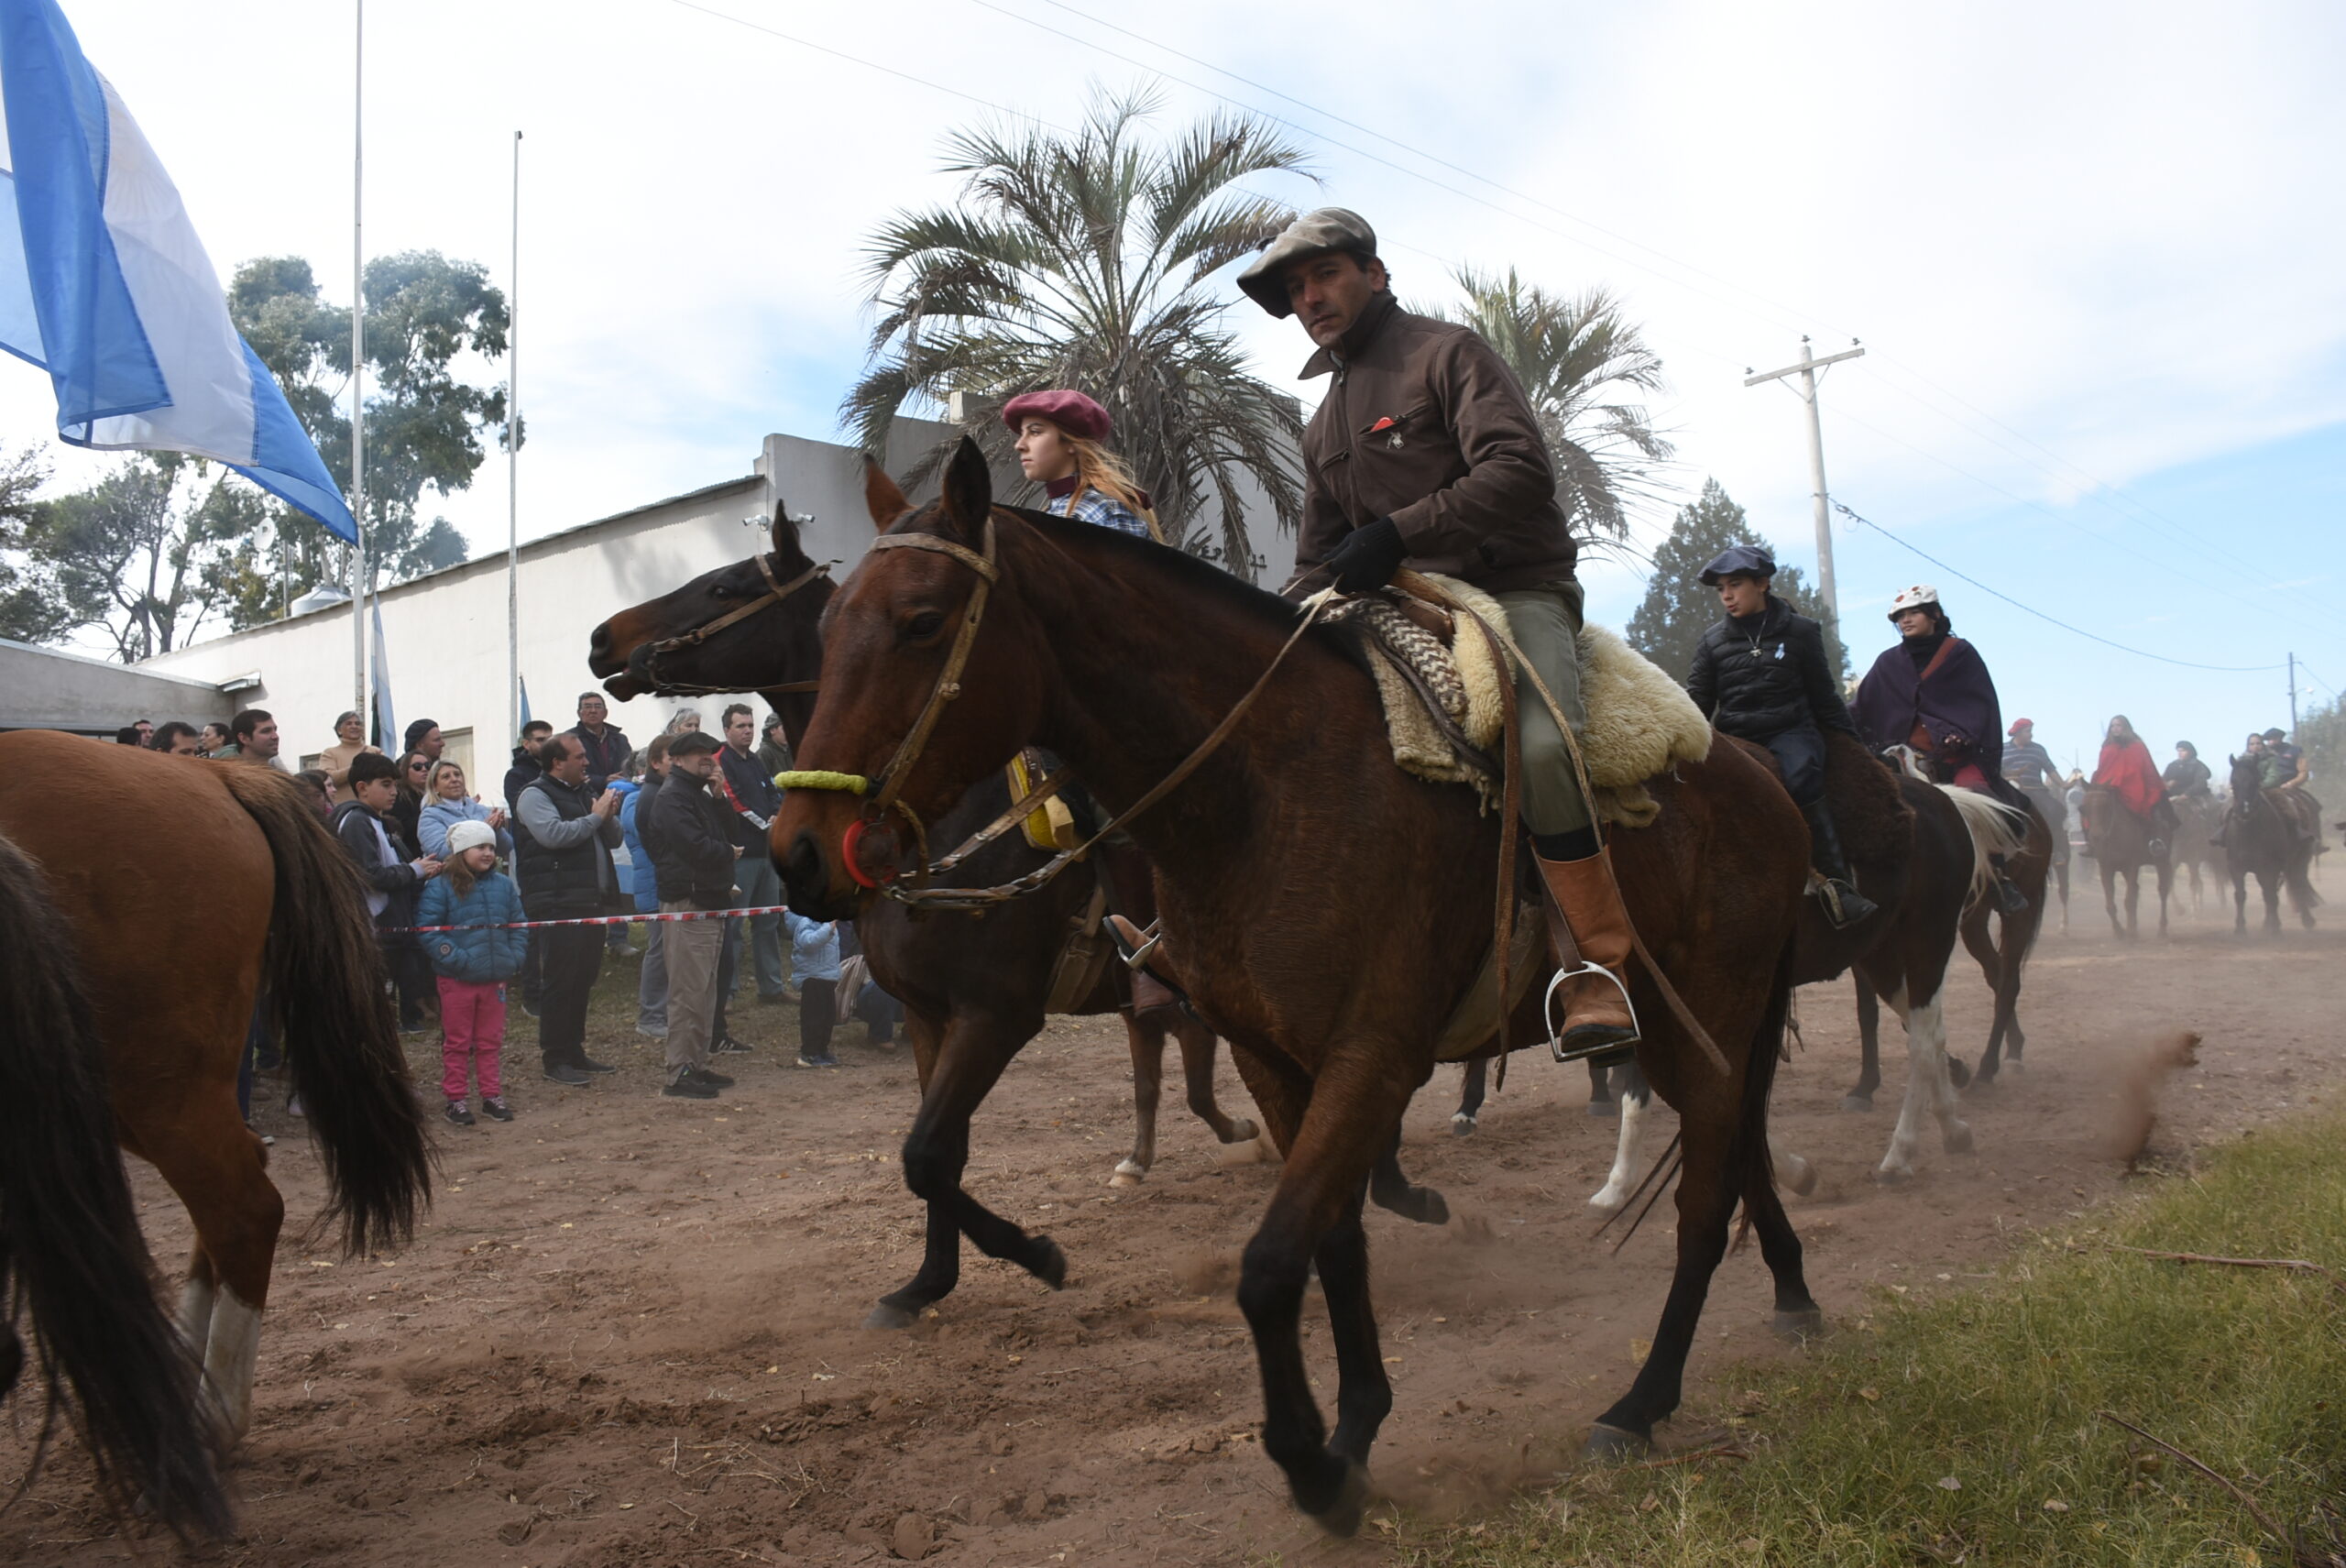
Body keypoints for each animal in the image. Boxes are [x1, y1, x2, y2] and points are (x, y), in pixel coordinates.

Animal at [596, 509, 1276, 1332]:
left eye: (724, 585)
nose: (603, 639)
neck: (939, 818)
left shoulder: (995, 1013)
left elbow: (925, 1154)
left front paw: (1035, 1254)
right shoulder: (929, 1014)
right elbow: (938, 1153)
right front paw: (928, 1281)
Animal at [769, 444, 1811, 1530]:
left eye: (923, 621)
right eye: (829, 627)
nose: (800, 853)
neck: (1265, 784)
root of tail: (1763, 783)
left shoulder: (1365, 1056)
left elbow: (1270, 1263)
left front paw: (1310, 1463)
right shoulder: (1268, 1056)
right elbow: (1332, 1240)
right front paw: (1353, 1426)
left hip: (1708, 1029)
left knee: (1702, 1208)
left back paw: (1639, 1402)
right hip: (1698, 1039)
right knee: (1742, 1159)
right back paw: (1790, 1294)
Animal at [2083, 779, 2167, 938]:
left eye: (2106, 805)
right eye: (2084, 806)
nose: (2096, 837)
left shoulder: (2131, 866)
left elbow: (2129, 900)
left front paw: (2130, 933)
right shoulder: (2105, 868)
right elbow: (2110, 904)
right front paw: (2119, 931)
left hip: (2162, 861)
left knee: (2162, 890)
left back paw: (2161, 929)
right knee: (2136, 889)